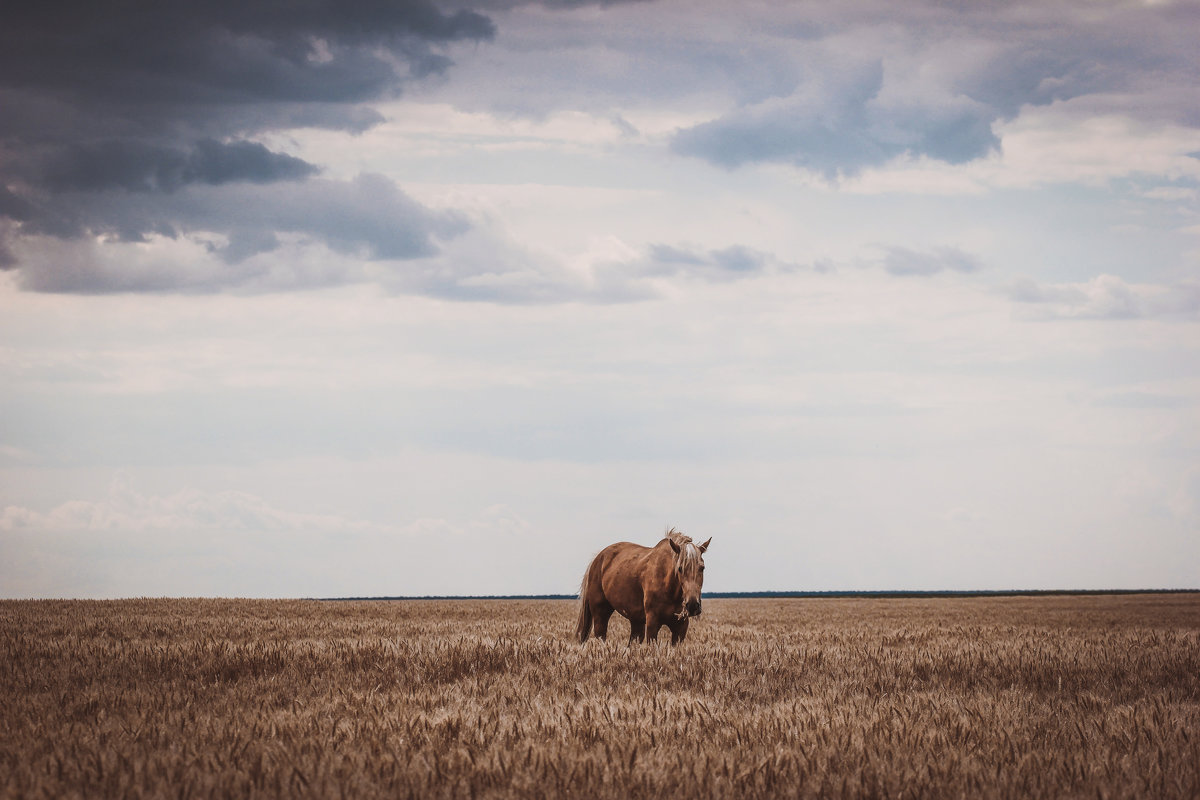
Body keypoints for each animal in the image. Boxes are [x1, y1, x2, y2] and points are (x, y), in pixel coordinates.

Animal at [573, 527, 705, 647]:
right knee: (601, 635)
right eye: (680, 568)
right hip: (600, 613)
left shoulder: (681, 627)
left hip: (636, 620)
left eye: (702, 568)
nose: (692, 605)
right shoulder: (652, 623)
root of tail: (597, 559)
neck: (670, 589)